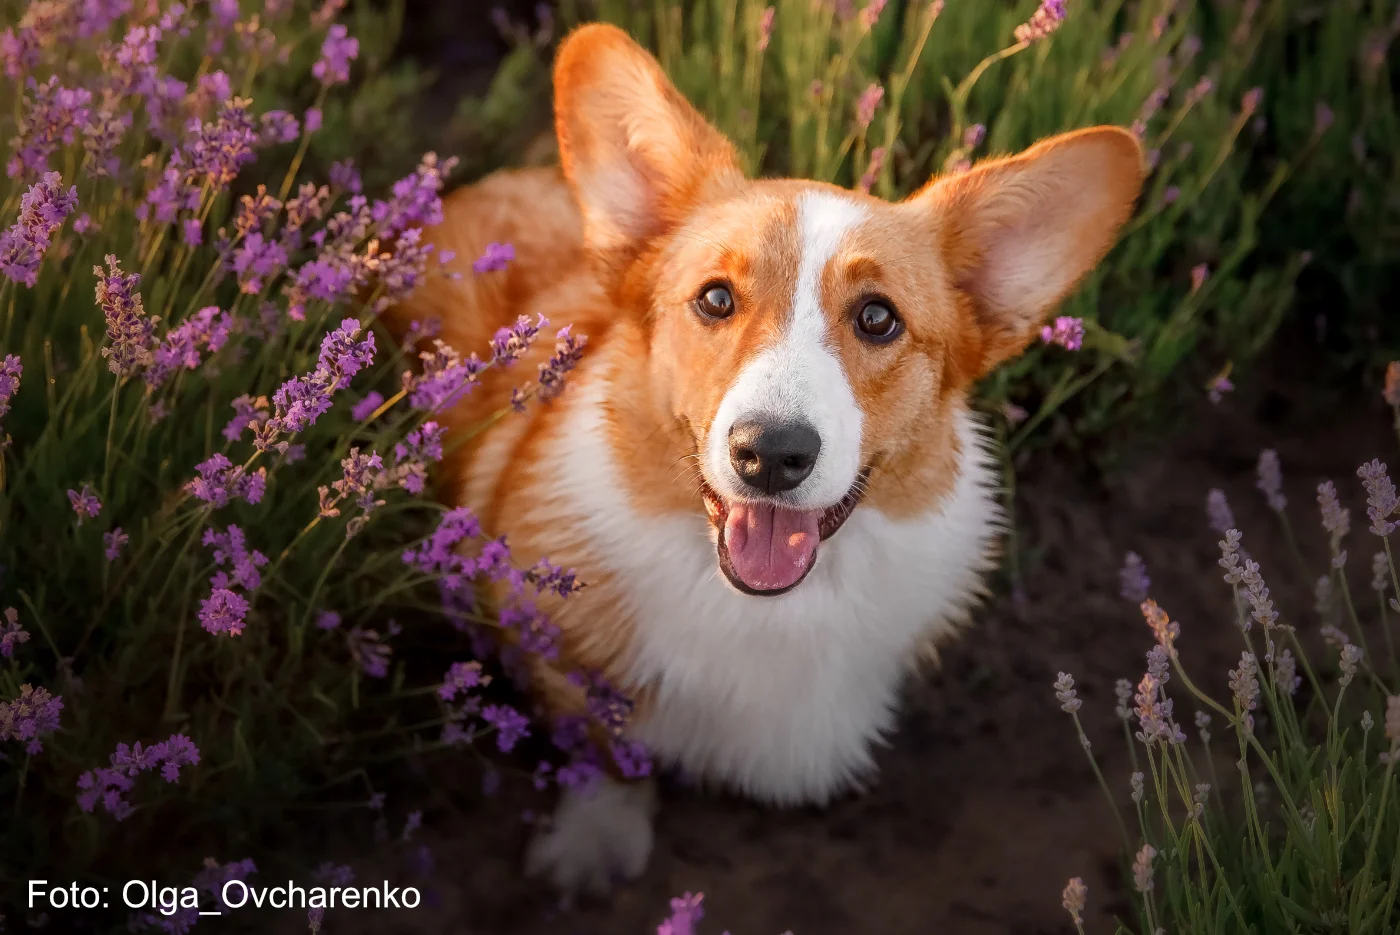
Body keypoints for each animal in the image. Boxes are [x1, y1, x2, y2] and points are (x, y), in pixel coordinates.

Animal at [386, 21, 1148, 895]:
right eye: (716, 298)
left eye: (878, 317)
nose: (771, 454)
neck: (763, 608)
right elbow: (603, 743)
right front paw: (591, 842)